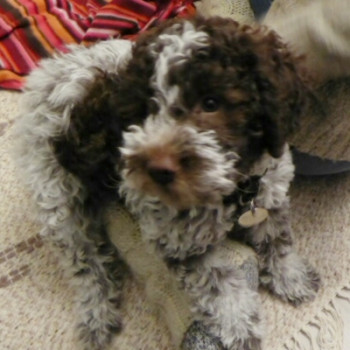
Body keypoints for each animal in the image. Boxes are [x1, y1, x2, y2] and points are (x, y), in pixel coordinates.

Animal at [14, 15, 320, 350]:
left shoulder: (268, 193)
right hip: (57, 197)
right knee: (85, 264)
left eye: (210, 102)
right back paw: (97, 315)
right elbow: (218, 282)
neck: (231, 189)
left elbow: (277, 239)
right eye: (145, 109)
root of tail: (48, 71)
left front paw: (291, 278)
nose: (158, 170)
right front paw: (238, 324)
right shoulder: (178, 238)